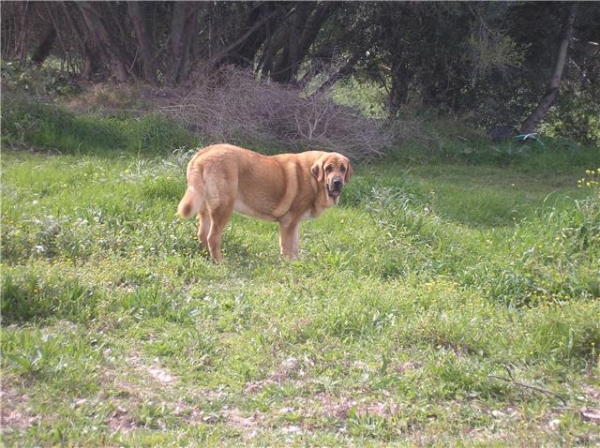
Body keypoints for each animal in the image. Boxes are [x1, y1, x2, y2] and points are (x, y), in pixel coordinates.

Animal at [176, 144, 352, 262]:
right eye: (328, 168)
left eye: (343, 169)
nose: (337, 182)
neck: (314, 179)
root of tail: (202, 154)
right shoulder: (288, 223)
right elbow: (287, 247)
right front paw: (289, 265)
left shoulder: (295, 223)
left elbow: (296, 245)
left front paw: (297, 262)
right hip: (223, 208)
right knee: (212, 237)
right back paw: (220, 262)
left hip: (205, 209)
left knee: (202, 235)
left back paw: (208, 258)